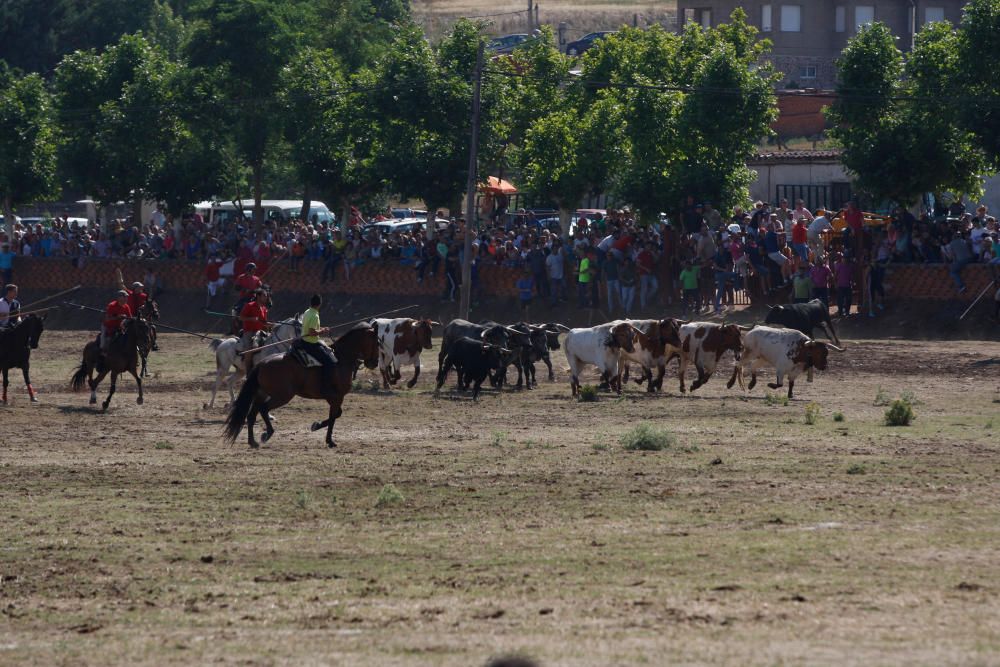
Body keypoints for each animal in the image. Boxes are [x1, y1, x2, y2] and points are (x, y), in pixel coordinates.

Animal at [225, 324, 380, 448]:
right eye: (378, 343)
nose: (375, 363)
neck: (341, 359)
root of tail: (262, 364)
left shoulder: (333, 398)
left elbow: (336, 415)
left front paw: (316, 426)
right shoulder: (336, 397)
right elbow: (333, 417)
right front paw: (330, 441)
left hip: (262, 394)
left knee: (251, 415)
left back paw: (253, 442)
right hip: (282, 396)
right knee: (263, 409)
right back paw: (268, 433)